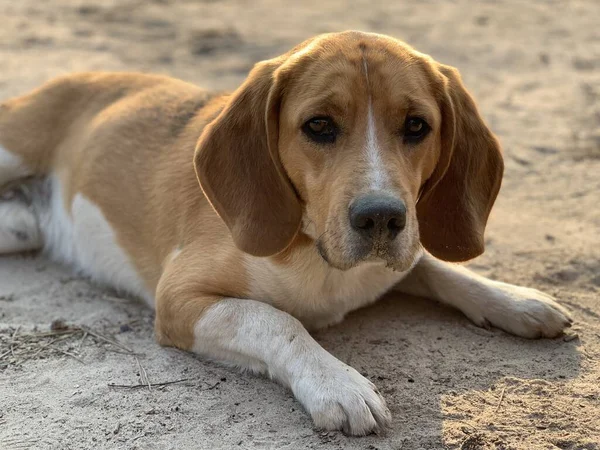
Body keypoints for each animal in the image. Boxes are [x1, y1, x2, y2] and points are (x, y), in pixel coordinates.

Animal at [0, 32, 572, 436]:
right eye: (318, 125)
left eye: (417, 126)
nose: (381, 218)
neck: (319, 258)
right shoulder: (178, 300)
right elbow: (276, 320)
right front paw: (337, 383)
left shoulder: (402, 253)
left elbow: (438, 267)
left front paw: (514, 299)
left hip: (21, 229)